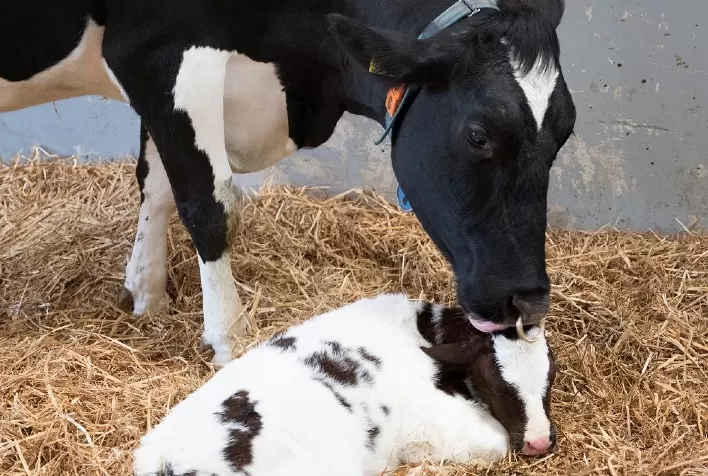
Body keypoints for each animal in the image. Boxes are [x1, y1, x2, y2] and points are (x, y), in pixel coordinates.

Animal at [0, 0, 576, 365]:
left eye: (567, 130)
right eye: (479, 135)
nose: (529, 304)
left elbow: (157, 186)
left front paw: (147, 295)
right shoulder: (162, 51)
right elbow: (209, 204)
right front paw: (230, 340)